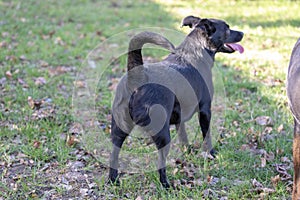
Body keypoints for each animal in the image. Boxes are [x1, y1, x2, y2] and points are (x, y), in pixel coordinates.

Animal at [108, 15, 244, 188]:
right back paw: (166, 185)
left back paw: (113, 180)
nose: (242, 33)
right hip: (162, 133)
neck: (195, 51)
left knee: (113, 154)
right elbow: (206, 135)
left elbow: (183, 135)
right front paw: (211, 154)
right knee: (160, 163)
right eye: (227, 28)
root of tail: (138, 77)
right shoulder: (205, 110)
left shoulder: (179, 116)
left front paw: (188, 152)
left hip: (119, 129)